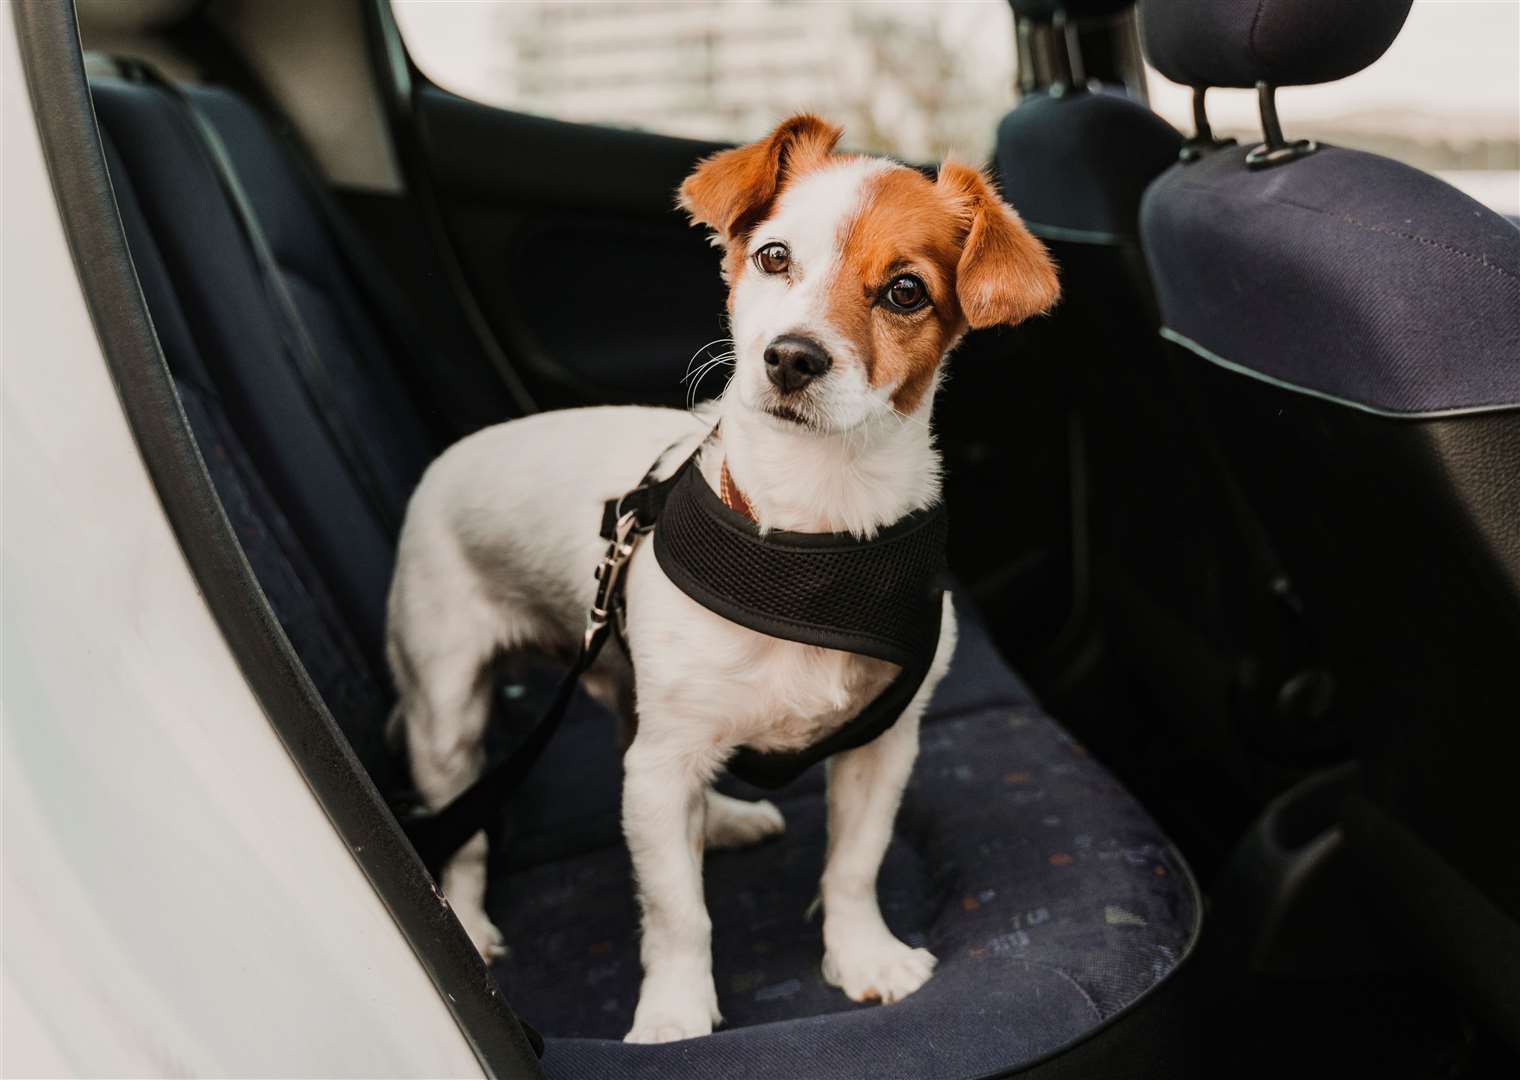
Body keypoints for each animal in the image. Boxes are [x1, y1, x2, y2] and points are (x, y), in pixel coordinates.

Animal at [392, 116, 1057, 1045]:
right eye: (774, 257)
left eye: (905, 292)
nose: (791, 358)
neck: (809, 539)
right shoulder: (663, 763)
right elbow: (679, 913)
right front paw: (674, 1012)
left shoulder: (881, 746)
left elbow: (854, 864)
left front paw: (863, 957)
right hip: (448, 718)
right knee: (466, 833)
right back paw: (471, 921)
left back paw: (724, 822)